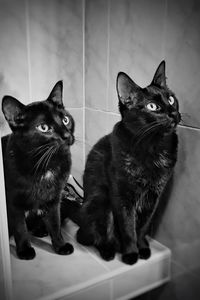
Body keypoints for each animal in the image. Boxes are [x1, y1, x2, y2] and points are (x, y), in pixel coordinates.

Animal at [1, 81, 75, 258]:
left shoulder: (54, 199)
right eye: (44, 127)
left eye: (65, 119)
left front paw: (60, 246)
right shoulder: (12, 202)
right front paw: (25, 251)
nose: (66, 135)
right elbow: (20, 228)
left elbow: (55, 224)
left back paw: (39, 230)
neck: (45, 164)